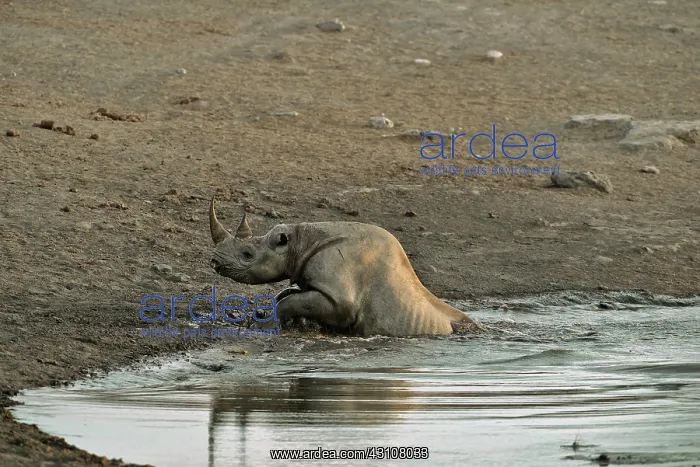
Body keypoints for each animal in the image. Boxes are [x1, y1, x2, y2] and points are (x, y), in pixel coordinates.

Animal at [208, 195, 476, 337]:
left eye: (247, 254)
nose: (214, 261)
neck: (299, 242)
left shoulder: (340, 300)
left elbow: (292, 301)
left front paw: (263, 326)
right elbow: (287, 294)